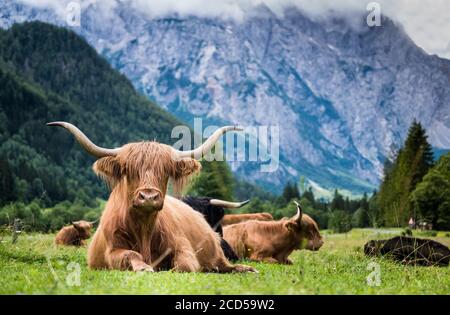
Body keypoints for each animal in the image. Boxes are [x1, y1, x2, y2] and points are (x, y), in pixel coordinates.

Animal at [48, 121, 256, 274]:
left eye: (165, 171)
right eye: (129, 170)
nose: (148, 197)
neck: (144, 228)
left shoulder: (182, 245)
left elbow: (185, 264)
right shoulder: (112, 250)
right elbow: (131, 254)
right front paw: (144, 268)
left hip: (216, 249)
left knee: (224, 264)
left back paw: (246, 269)